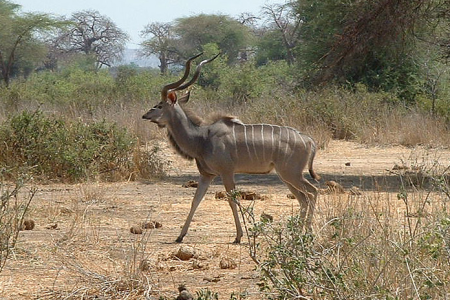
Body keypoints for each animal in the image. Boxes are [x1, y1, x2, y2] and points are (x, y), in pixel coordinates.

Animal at [142, 52, 320, 243]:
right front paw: (180, 236)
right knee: (303, 198)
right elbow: (196, 200)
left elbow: (231, 200)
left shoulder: (226, 172)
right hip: (286, 176)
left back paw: (307, 232)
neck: (202, 138)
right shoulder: (206, 175)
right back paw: (297, 234)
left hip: (291, 174)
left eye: (159, 105)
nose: (145, 115)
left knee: (312, 192)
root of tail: (309, 140)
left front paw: (239, 236)